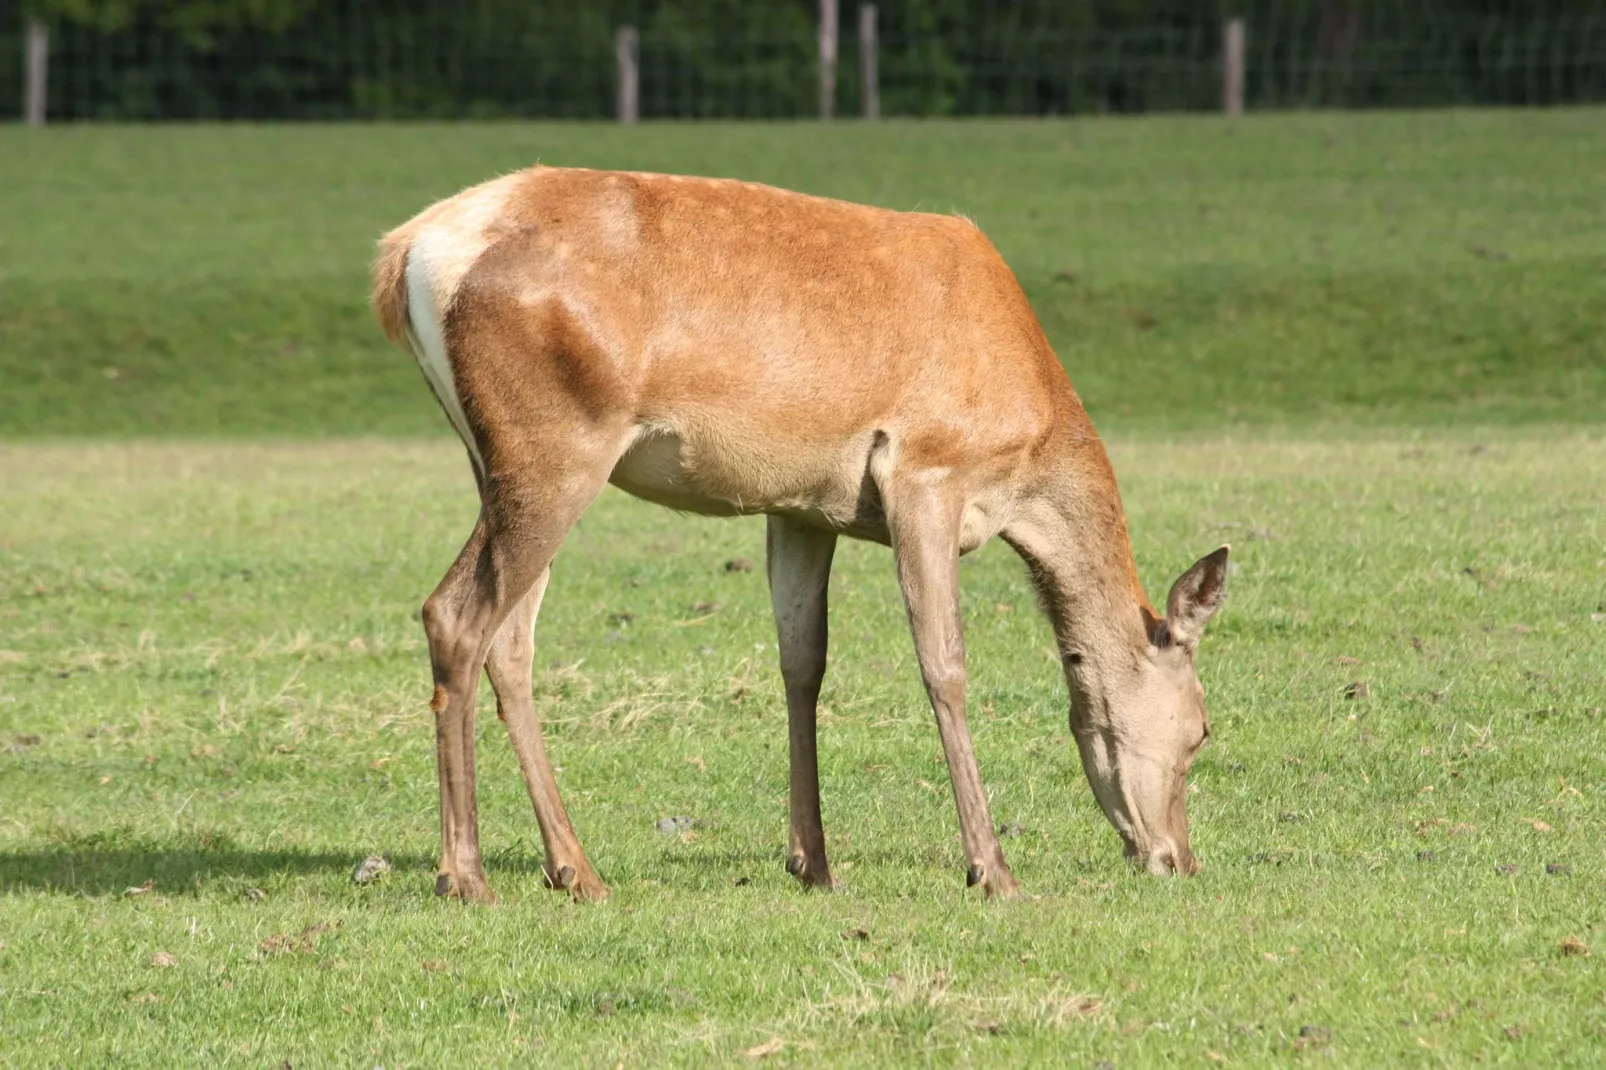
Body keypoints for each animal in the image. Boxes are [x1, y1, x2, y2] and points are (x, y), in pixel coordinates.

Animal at [372, 167, 1226, 899]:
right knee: (456, 614)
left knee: (511, 639)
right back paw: (465, 874)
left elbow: (801, 661)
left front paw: (813, 862)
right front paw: (991, 869)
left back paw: (573, 868)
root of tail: (406, 255)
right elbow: (943, 665)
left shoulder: (803, 507)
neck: (1028, 455)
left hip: (495, 460)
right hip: (556, 444)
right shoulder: (928, 470)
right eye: (1202, 730)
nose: (1179, 859)